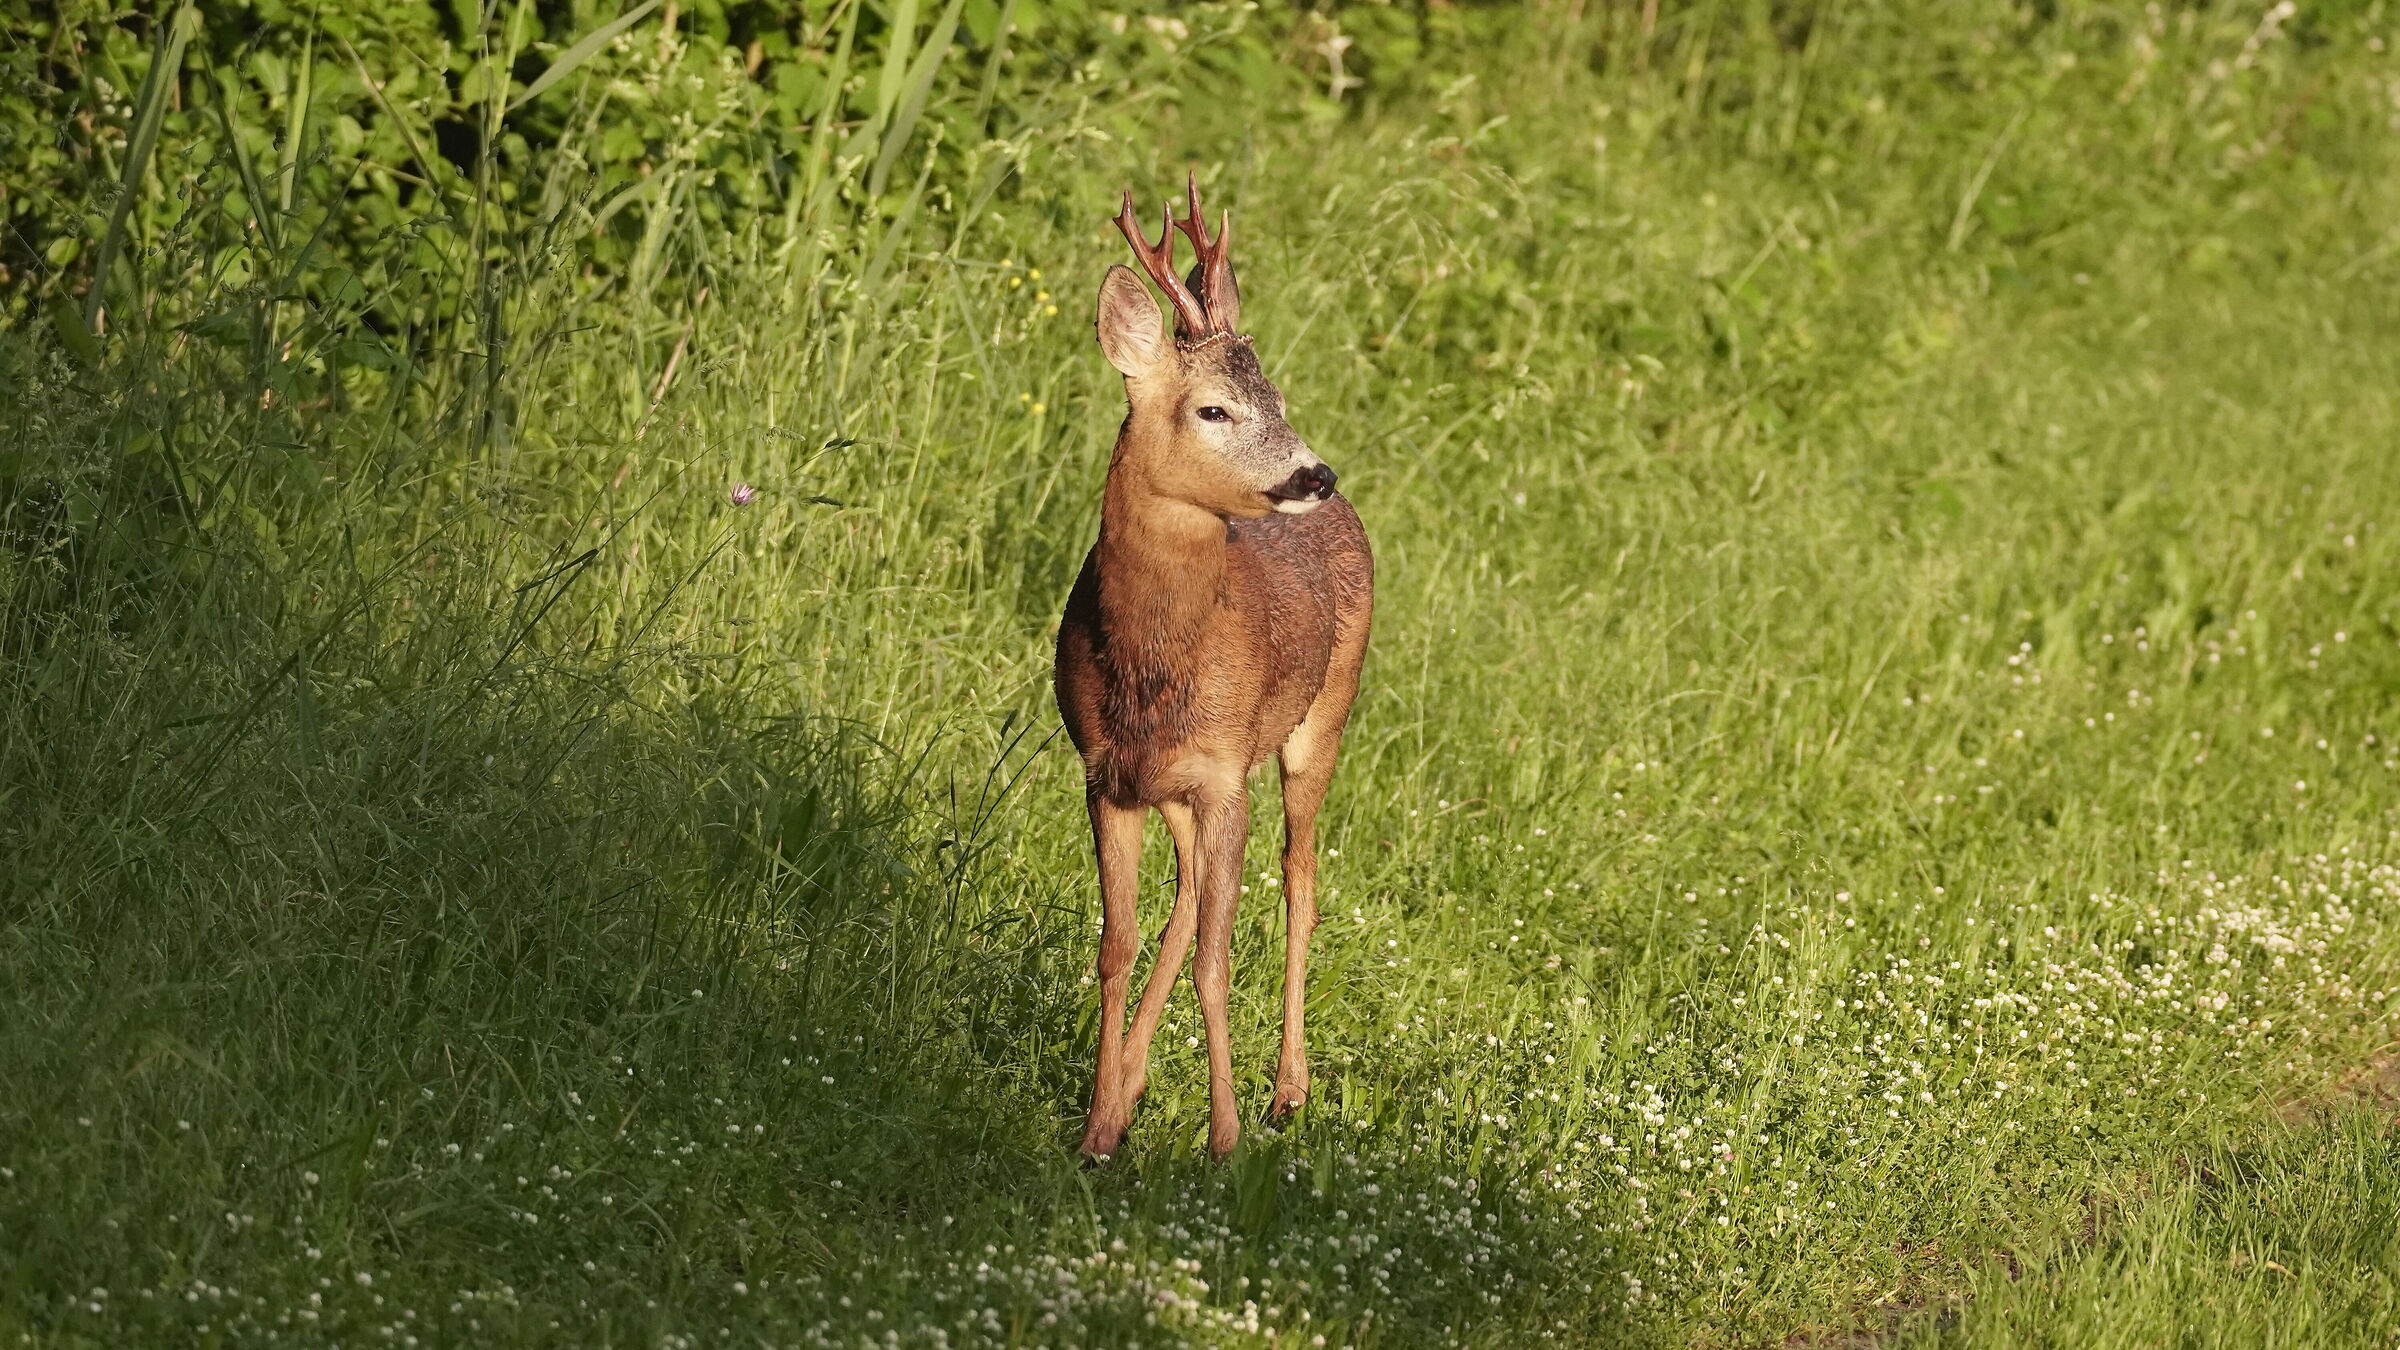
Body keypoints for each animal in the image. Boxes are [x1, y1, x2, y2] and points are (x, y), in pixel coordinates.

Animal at [1055, 174, 1374, 1162]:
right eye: (1213, 409)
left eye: (1276, 396)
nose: (1316, 473)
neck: (1155, 668)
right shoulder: (1106, 776)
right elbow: (1118, 943)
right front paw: (1096, 1128)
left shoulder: (1226, 772)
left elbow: (1216, 956)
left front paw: (1224, 1139)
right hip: (1180, 790)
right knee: (1192, 893)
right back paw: (1130, 1093)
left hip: (1322, 720)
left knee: (1300, 881)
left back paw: (1287, 1093)